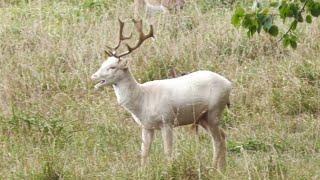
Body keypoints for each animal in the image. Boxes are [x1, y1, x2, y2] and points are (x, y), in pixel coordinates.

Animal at [91, 19, 231, 171]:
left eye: (112, 67)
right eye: (103, 63)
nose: (93, 76)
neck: (143, 100)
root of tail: (229, 84)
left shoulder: (167, 120)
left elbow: (168, 151)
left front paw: (169, 170)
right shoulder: (146, 126)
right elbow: (144, 152)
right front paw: (142, 171)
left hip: (214, 110)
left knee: (217, 140)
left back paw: (213, 168)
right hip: (202, 118)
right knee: (223, 135)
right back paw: (222, 169)